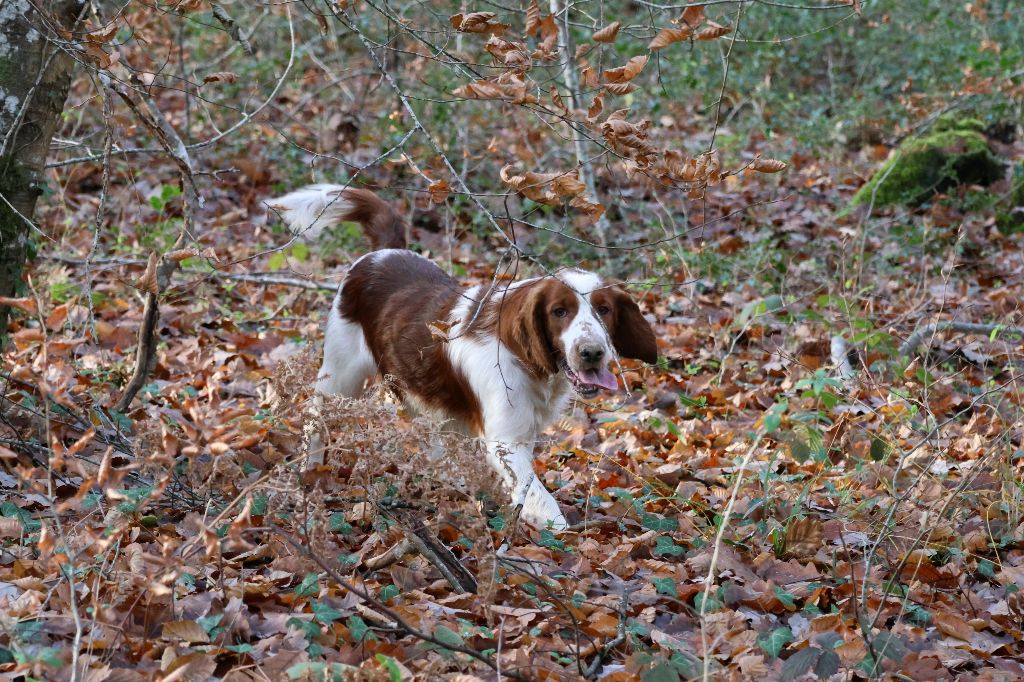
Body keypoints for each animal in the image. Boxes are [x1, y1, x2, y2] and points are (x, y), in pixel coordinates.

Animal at [268, 184, 659, 524]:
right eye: (559, 311)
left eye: (604, 310)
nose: (592, 353)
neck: (525, 360)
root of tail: (381, 253)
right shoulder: (505, 440)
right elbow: (539, 499)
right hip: (339, 376)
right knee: (315, 419)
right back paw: (309, 472)